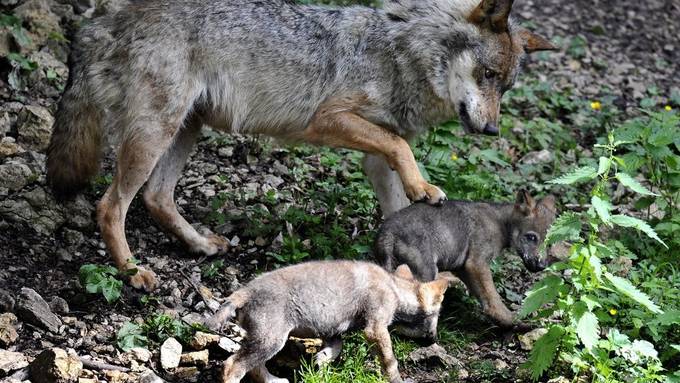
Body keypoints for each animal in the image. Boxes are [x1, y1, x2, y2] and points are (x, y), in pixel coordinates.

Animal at [46, 0, 556, 290]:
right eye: (487, 76)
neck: (402, 53)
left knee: (156, 197)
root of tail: (100, 21)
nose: (491, 131)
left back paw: (200, 245)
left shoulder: (375, 160)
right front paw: (424, 189)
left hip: (184, 130)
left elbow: (397, 192)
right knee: (110, 206)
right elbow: (401, 147)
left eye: (505, 87)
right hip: (156, 134)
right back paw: (133, 273)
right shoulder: (329, 120)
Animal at [205, 260, 454, 383]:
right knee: (232, 367)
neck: (394, 287)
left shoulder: (332, 331)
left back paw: (275, 380)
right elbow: (390, 362)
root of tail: (243, 292)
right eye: (437, 315)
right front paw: (397, 380)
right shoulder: (375, 329)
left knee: (255, 368)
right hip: (270, 340)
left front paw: (320, 362)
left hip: (265, 340)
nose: (434, 339)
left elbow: (335, 349)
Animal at [374, 190, 556, 328]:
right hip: (426, 272)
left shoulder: (463, 267)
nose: (541, 266)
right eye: (531, 237)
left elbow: (483, 296)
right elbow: (493, 297)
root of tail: (387, 232)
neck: (500, 223)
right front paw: (511, 321)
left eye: (548, 244)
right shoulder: (477, 263)